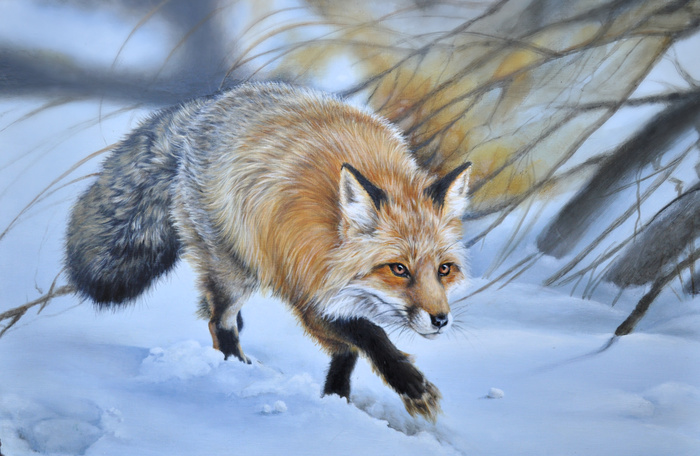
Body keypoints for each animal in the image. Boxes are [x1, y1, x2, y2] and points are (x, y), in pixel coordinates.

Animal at [65, 81, 471, 421]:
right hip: (235, 272)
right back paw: (234, 370)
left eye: (444, 269)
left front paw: (335, 398)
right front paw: (412, 385)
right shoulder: (304, 289)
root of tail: (209, 106)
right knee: (220, 322)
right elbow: (369, 336)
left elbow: (349, 350)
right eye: (398, 269)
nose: (440, 320)